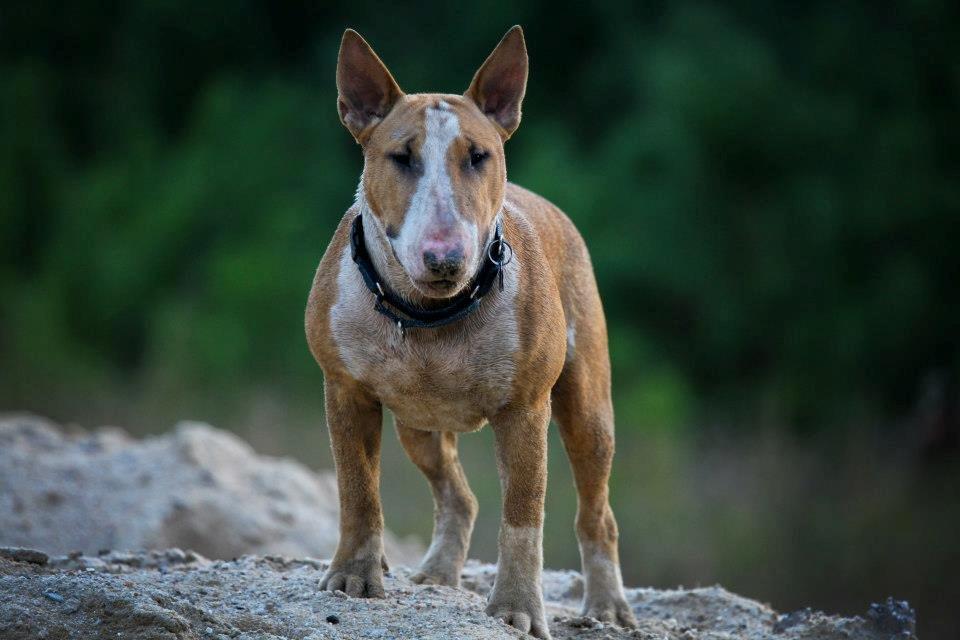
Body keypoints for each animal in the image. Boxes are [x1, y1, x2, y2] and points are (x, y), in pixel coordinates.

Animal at [306, 26, 636, 640]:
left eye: (479, 156)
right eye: (401, 157)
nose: (445, 258)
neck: (430, 315)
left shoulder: (525, 412)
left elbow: (524, 516)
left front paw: (516, 608)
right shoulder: (345, 391)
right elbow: (357, 490)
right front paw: (354, 576)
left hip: (587, 407)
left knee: (596, 512)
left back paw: (606, 605)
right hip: (418, 424)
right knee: (458, 495)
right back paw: (438, 571)